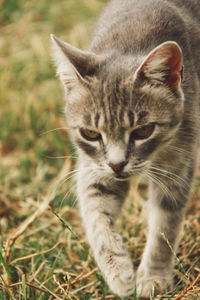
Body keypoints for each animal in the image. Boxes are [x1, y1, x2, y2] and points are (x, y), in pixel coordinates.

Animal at [50, 0, 200, 298]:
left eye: (143, 131)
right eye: (91, 133)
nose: (117, 165)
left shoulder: (178, 166)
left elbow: (164, 228)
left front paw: (154, 277)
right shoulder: (94, 168)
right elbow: (96, 216)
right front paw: (118, 272)